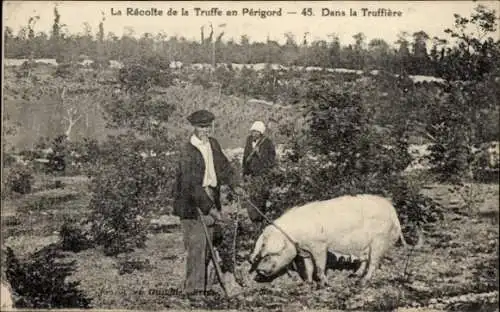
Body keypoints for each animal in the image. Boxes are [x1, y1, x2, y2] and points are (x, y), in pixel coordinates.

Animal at [248, 194, 412, 286]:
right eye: (262, 253)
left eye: (270, 254)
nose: (259, 270)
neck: (297, 236)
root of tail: (391, 209)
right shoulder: (305, 251)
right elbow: (308, 267)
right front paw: (307, 283)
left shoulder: (319, 245)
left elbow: (320, 266)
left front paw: (324, 285)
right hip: (365, 244)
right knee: (365, 260)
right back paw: (353, 275)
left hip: (379, 240)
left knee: (373, 262)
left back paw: (362, 282)